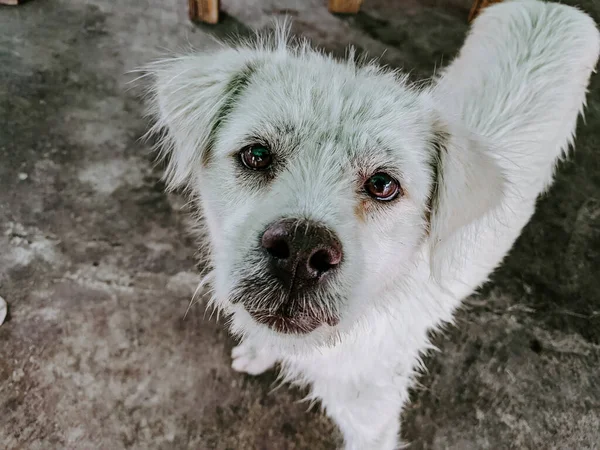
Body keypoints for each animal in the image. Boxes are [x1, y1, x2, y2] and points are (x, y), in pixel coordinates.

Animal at [144, 1, 596, 448]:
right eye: (256, 155)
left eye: (382, 185)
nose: (301, 252)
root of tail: (558, 7)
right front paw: (257, 352)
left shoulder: (371, 423)